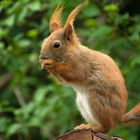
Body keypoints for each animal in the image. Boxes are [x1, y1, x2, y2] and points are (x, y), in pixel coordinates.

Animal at [39, 4, 140, 133]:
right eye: (44, 41)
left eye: (57, 45)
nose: (42, 56)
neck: (70, 54)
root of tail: (118, 118)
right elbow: (63, 81)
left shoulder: (82, 64)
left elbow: (75, 74)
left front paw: (50, 63)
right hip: (81, 102)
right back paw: (85, 126)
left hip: (96, 99)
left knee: (106, 127)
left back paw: (94, 127)